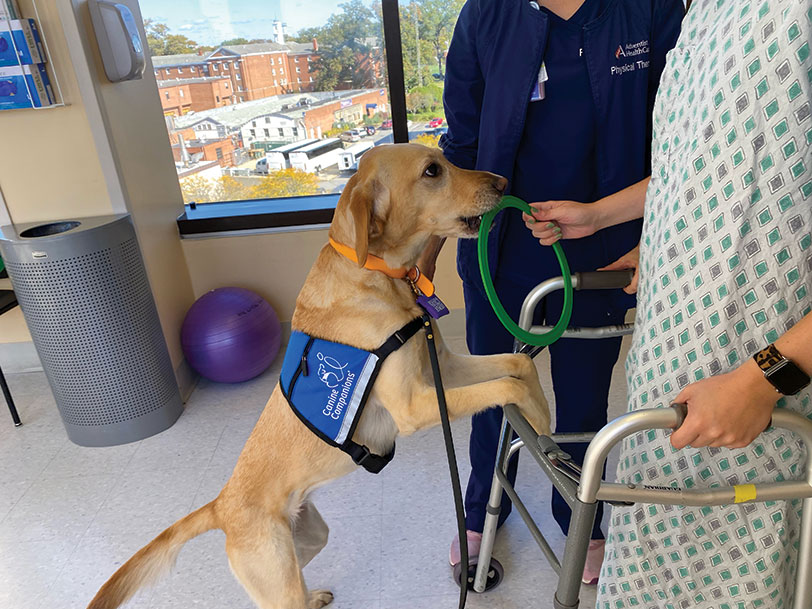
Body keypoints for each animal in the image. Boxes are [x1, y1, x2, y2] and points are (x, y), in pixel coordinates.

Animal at [85, 144, 548, 608]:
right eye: (433, 171)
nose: (503, 183)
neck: (379, 274)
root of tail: (221, 504)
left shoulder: (444, 369)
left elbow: (519, 366)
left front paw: (543, 418)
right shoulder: (414, 406)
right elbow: (503, 385)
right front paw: (540, 425)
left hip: (308, 540)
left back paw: (316, 598)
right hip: (277, 575)